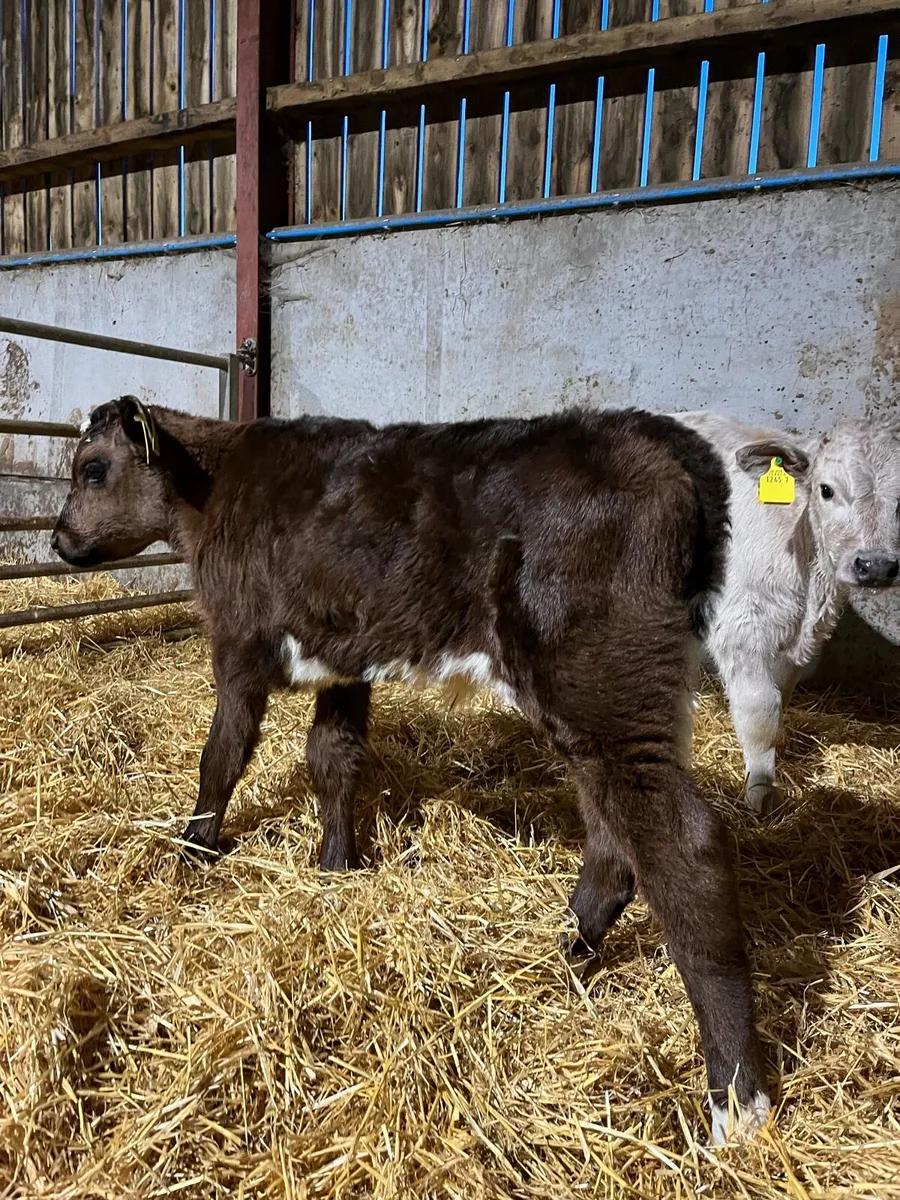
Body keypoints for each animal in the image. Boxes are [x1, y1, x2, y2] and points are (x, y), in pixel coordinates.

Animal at [52, 396, 770, 1143]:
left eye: (92, 468)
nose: (58, 539)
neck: (218, 484)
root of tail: (658, 435)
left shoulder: (239, 641)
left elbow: (221, 756)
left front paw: (192, 850)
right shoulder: (344, 657)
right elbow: (332, 757)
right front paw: (336, 864)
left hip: (603, 684)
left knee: (682, 847)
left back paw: (736, 1098)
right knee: (615, 841)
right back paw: (561, 954)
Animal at [675, 411, 900, 815]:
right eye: (826, 490)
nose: (876, 565)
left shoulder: (796, 649)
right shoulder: (740, 628)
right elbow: (761, 713)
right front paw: (760, 794)